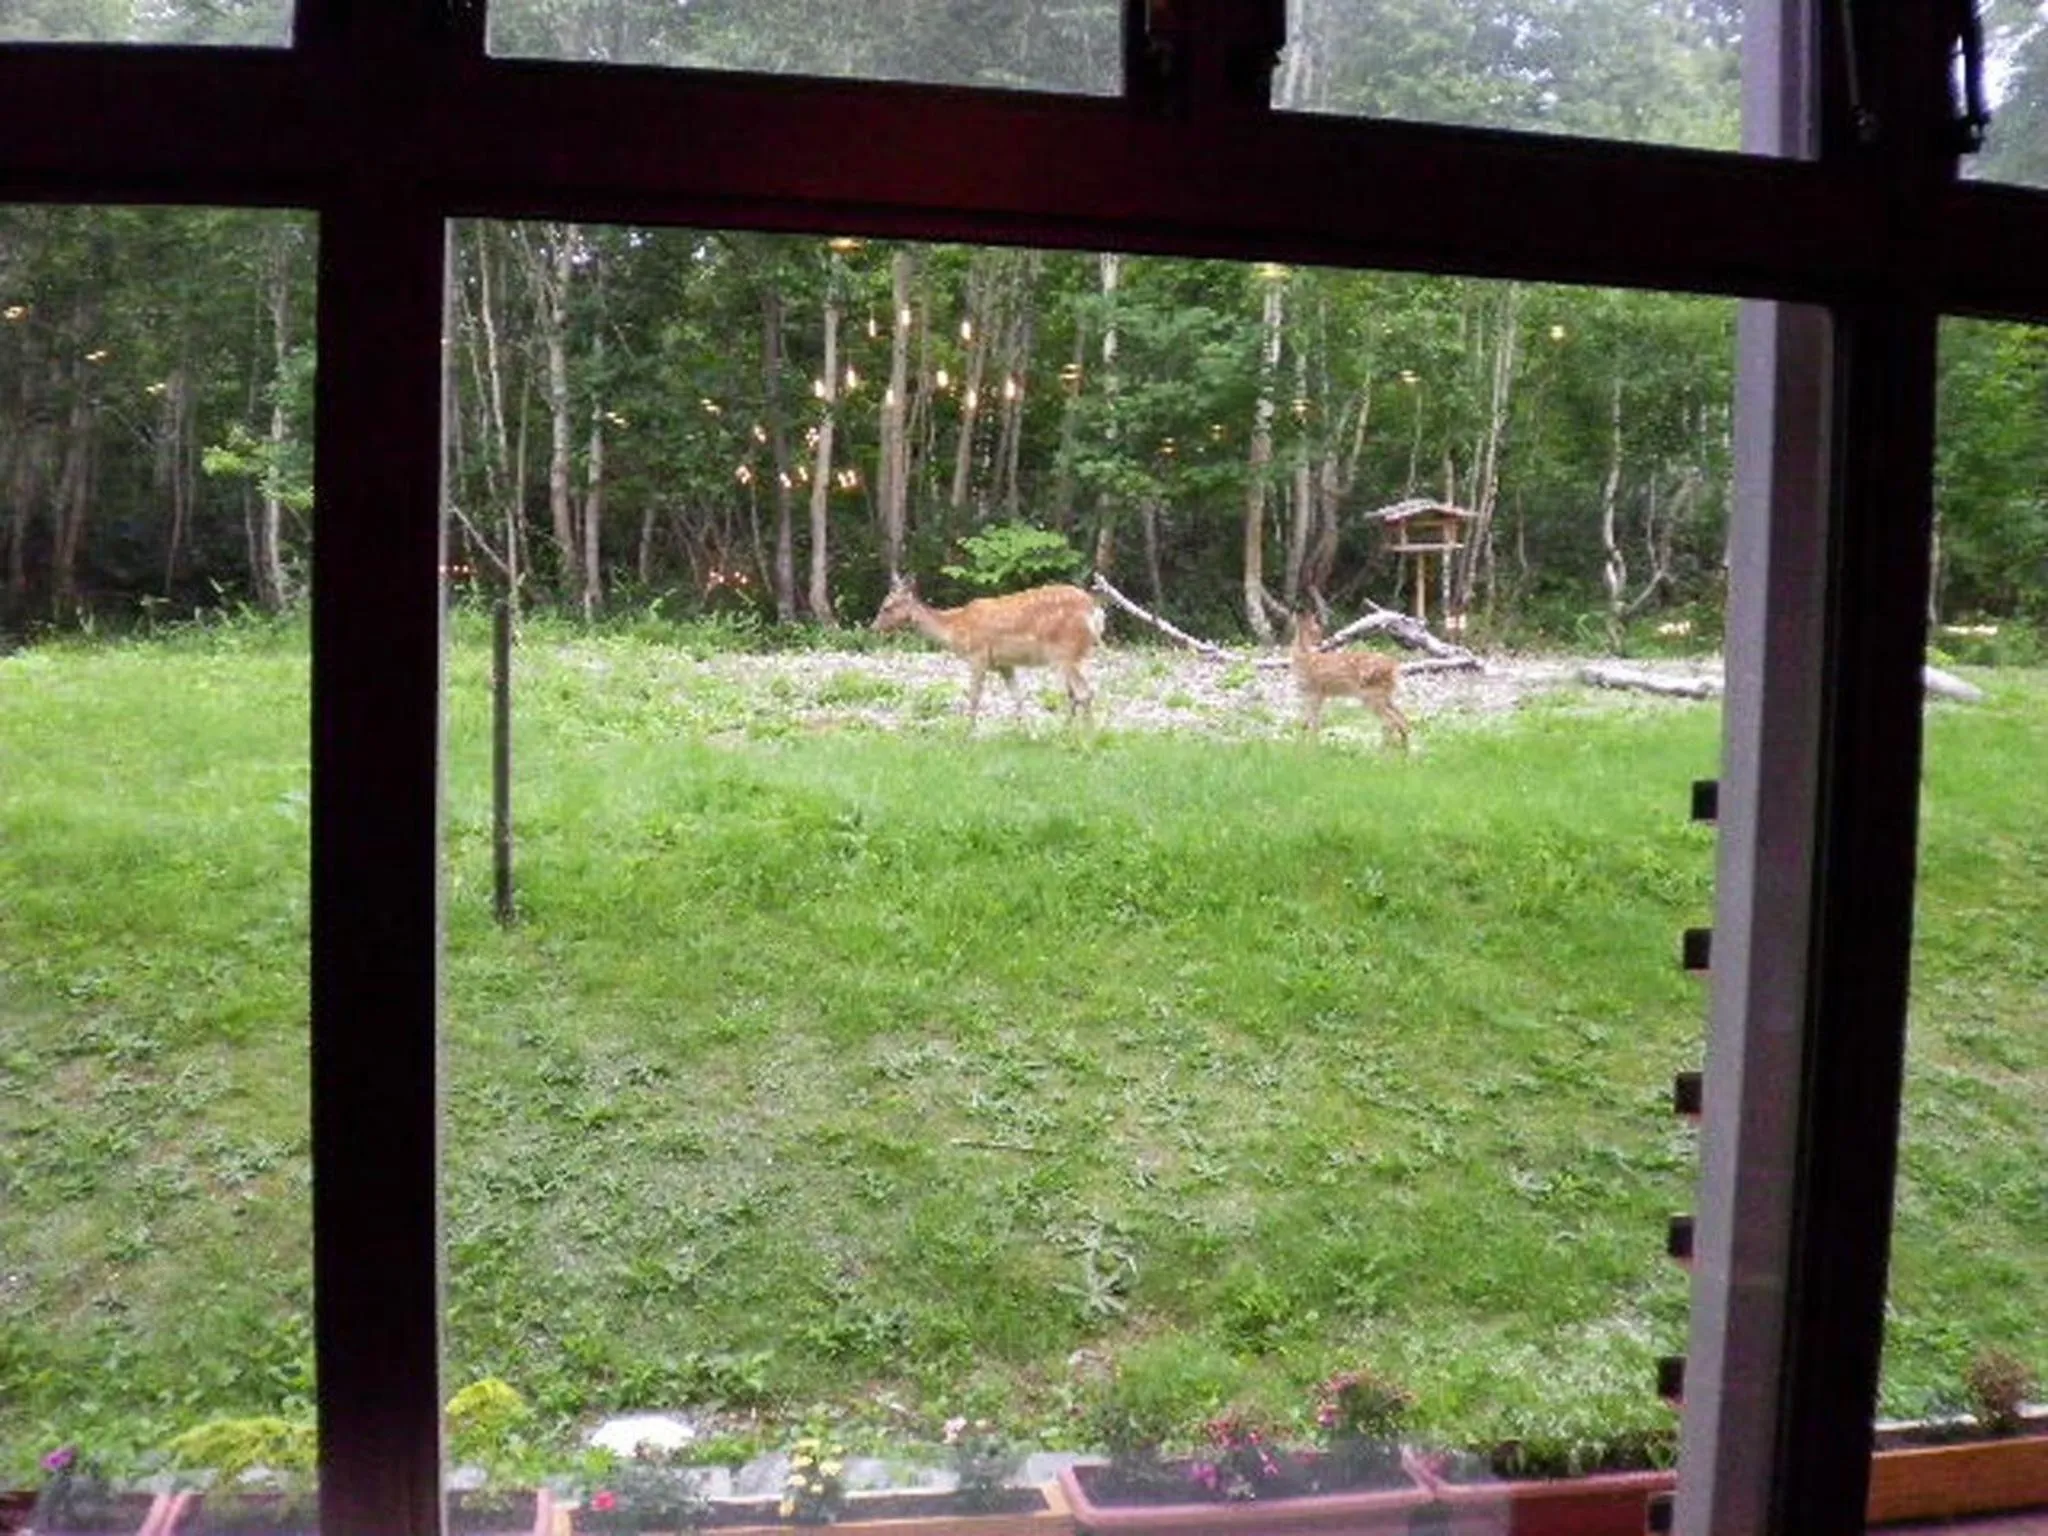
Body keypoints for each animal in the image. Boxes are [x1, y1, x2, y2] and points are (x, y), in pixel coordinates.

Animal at [872, 577, 1105, 722]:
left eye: (887, 607)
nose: (873, 627)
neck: (955, 628)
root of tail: (1094, 611)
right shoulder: (1004, 664)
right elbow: (1018, 698)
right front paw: (1025, 733)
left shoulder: (978, 656)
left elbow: (974, 698)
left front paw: (965, 735)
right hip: (1073, 655)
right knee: (1074, 694)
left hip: (1065, 653)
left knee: (1083, 693)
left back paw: (1085, 737)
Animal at [1291, 610, 1411, 750]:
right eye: (1314, 630)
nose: (1320, 642)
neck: (1304, 658)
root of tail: (1394, 666)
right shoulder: (1310, 694)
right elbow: (1305, 722)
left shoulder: (1316, 691)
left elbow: (1314, 722)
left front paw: (1312, 746)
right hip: (1385, 695)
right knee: (1402, 719)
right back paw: (1403, 749)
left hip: (1372, 695)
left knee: (1390, 721)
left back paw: (1383, 750)